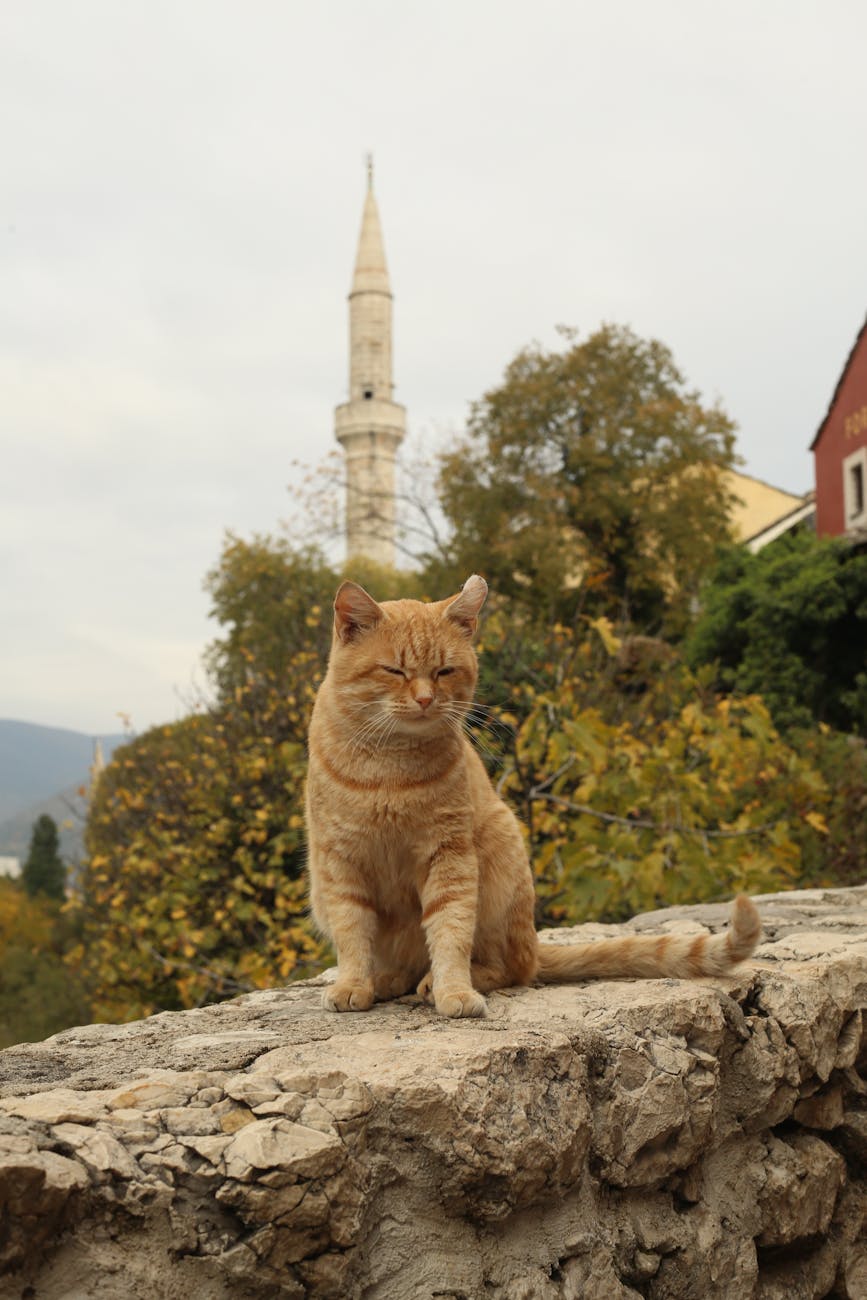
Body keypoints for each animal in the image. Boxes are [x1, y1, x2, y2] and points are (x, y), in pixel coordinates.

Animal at [304, 577, 759, 1013]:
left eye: (444, 671)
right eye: (394, 671)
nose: (425, 699)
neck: (390, 766)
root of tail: (536, 947)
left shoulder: (449, 855)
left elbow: (450, 930)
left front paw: (455, 990)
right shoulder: (339, 862)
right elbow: (352, 933)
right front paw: (353, 984)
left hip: (502, 863)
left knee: (510, 967)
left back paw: (438, 982)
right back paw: (387, 979)